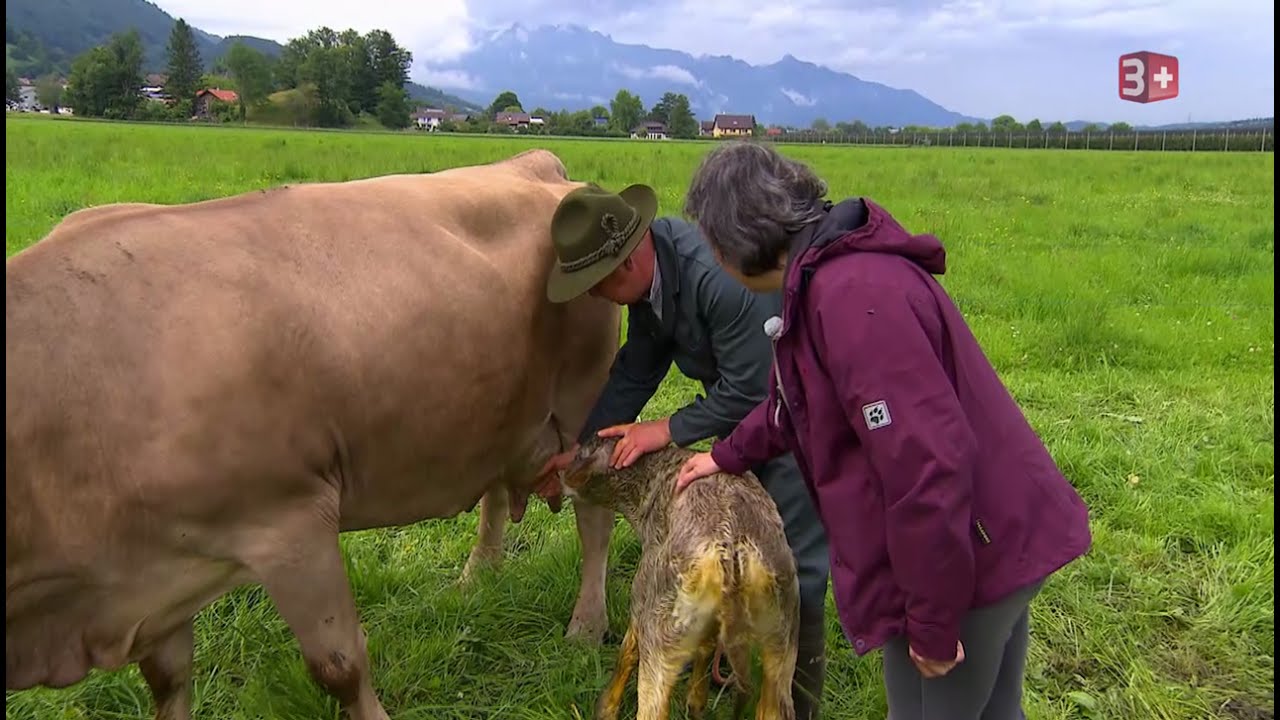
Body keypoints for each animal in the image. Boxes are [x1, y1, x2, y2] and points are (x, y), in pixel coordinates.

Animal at [3, 148, 624, 712]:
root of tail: (535, 162)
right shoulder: (157, 574)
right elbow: (168, 680)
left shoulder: (290, 520)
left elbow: (340, 665)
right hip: (501, 408)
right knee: (496, 488)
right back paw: (476, 579)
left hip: (584, 401)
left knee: (595, 519)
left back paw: (585, 627)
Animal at [563, 430, 798, 717]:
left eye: (581, 453)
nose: (559, 475)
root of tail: (732, 550)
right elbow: (705, 648)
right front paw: (696, 703)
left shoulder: (643, 591)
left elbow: (628, 650)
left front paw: (605, 708)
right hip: (781, 644)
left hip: (661, 632)